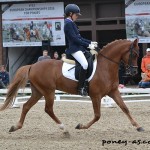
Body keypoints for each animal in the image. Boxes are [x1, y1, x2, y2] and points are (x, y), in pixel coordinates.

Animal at [0, 38, 144, 135]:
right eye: (134, 54)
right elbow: (97, 115)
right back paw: (64, 129)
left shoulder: (113, 91)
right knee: (48, 109)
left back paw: (15, 127)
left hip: (38, 92)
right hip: (48, 91)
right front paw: (81, 126)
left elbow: (125, 108)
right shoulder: (95, 96)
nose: (134, 72)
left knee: (26, 106)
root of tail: (32, 65)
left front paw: (138, 126)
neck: (105, 66)